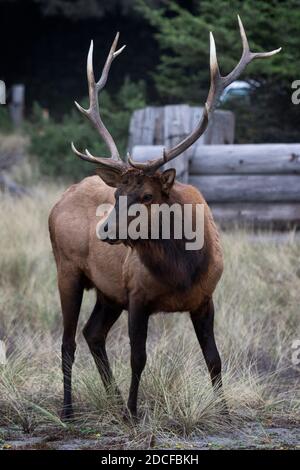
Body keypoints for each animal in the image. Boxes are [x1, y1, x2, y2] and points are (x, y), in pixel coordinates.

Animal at [48, 17, 280, 422]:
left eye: (146, 196)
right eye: (117, 196)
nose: (105, 230)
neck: (181, 270)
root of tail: (58, 201)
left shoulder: (205, 298)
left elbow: (214, 358)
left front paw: (224, 411)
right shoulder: (137, 295)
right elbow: (138, 358)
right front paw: (132, 412)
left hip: (108, 291)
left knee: (93, 333)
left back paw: (110, 399)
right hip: (68, 269)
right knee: (67, 341)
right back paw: (69, 410)